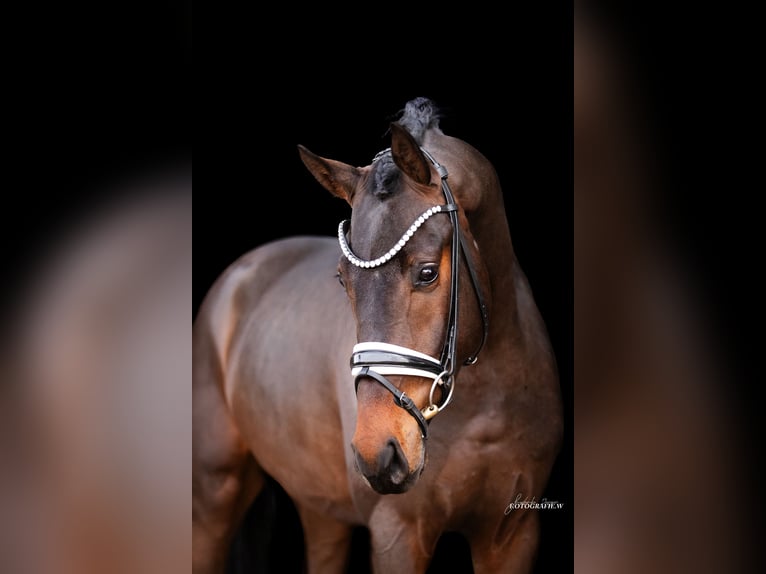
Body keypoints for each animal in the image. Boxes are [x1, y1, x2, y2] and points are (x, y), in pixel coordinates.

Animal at [192, 99, 564, 574]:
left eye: (427, 272)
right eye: (342, 279)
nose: (378, 453)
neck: (486, 399)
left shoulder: (513, 535)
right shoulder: (396, 535)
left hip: (319, 508)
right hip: (212, 497)